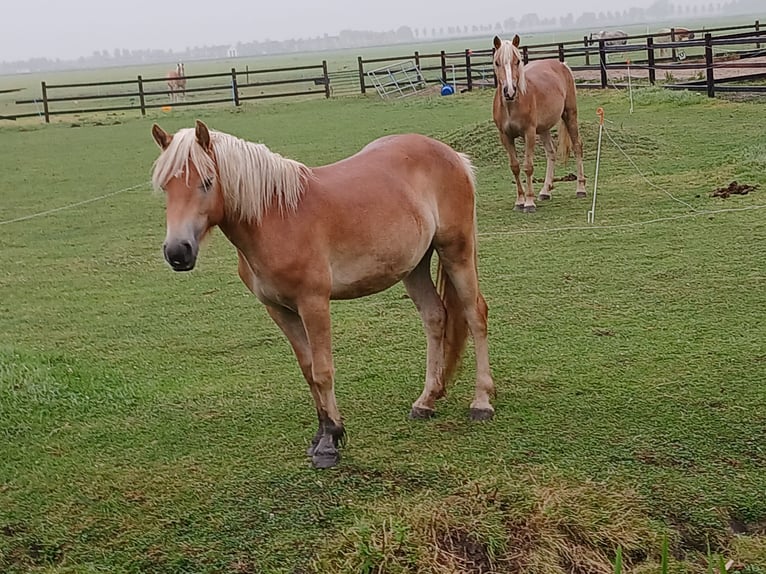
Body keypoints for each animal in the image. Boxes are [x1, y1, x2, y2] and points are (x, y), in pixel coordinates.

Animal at [150, 119, 498, 470]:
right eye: (165, 186)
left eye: (207, 182)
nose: (178, 252)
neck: (276, 218)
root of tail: (453, 155)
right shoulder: (279, 309)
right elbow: (307, 370)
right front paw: (320, 435)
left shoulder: (313, 304)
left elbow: (322, 370)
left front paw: (330, 441)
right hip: (414, 266)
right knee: (435, 317)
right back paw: (426, 401)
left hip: (456, 251)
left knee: (475, 315)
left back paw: (481, 402)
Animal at [492, 34, 588, 214]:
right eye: (497, 62)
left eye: (517, 61)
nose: (509, 91)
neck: (512, 105)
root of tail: (561, 65)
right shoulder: (505, 136)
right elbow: (515, 167)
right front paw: (519, 201)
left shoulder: (529, 133)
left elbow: (528, 166)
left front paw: (529, 203)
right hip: (544, 129)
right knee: (551, 153)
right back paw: (545, 191)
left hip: (570, 115)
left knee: (577, 146)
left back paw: (581, 189)